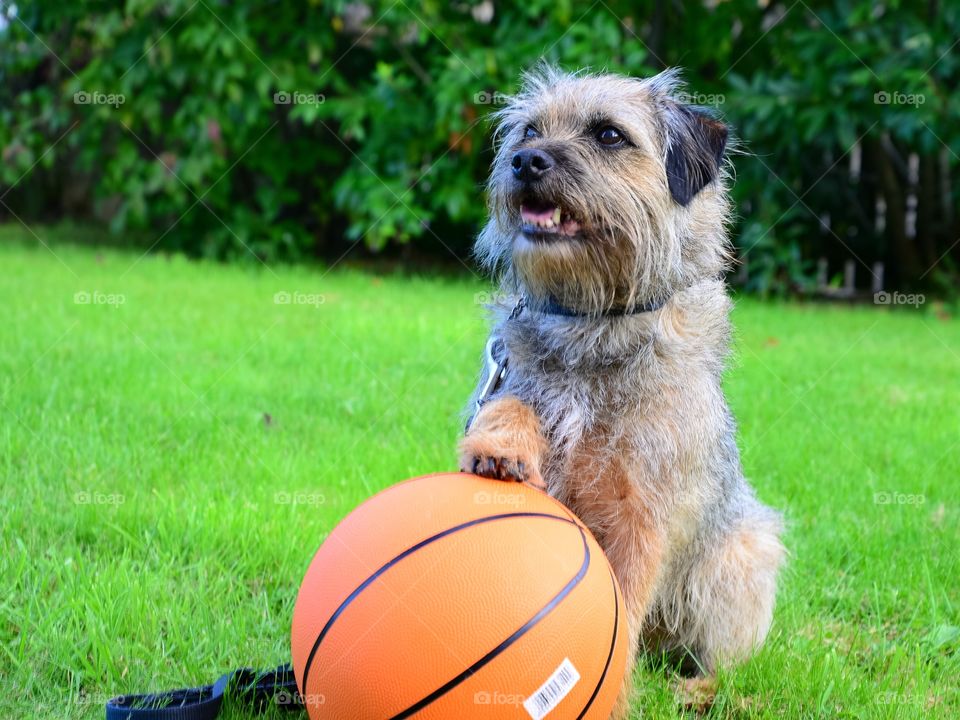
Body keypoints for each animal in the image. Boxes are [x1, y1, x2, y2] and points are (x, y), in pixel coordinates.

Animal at [460, 66, 788, 716]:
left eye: (610, 134)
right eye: (530, 129)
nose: (525, 159)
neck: (594, 323)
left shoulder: (641, 517)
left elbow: (626, 603)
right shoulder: (510, 373)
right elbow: (514, 399)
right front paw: (502, 447)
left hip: (743, 555)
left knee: (723, 659)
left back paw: (695, 689)